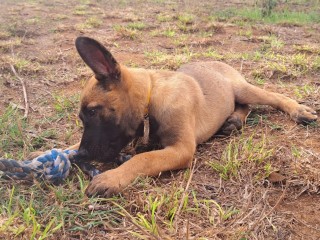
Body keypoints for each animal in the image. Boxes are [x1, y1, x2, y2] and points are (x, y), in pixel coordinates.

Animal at [61, 36, 316, 197]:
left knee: (271, 97)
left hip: (243, 88)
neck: (152, 98)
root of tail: (216, 61)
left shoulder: (181, 149)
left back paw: (298, 110)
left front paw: (112, 178)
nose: (82, 155)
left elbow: (143, 159)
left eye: (93, 111)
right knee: (243, 106)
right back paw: (233, 121)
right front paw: (58, 151)